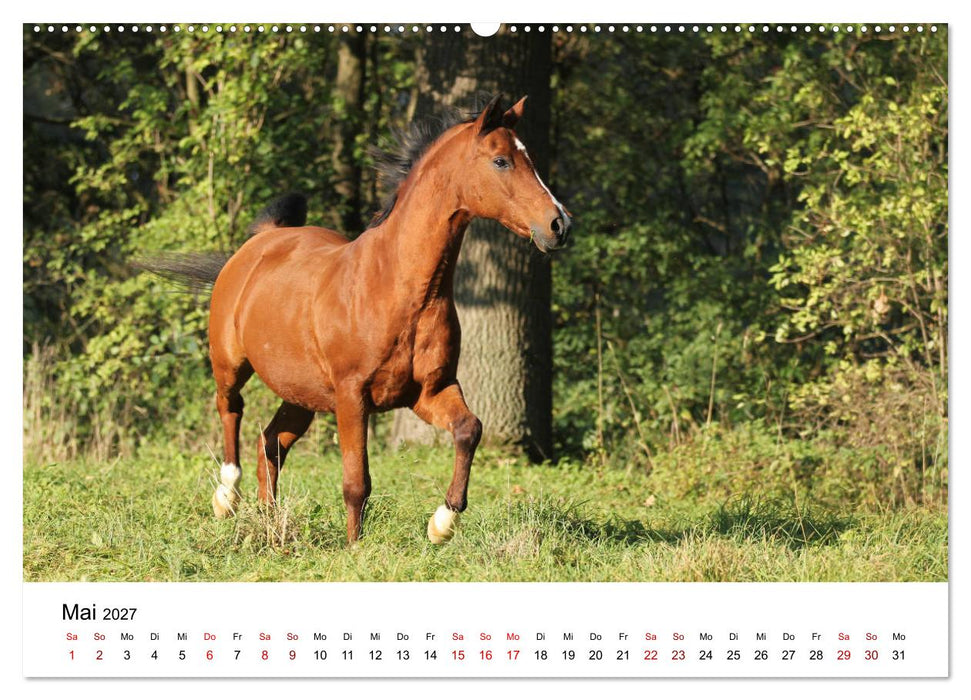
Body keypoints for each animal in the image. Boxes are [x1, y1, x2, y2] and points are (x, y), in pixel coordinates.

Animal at [153, 95, 571, 544]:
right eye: (501, 161)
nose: (560, 223)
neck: (396, 289)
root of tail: (258, 242)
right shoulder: (352, 397)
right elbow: (357, 482)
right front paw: (355, 547)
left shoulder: (430, 391)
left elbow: (468, 429)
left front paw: (443, 523)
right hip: (231, 365)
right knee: (231, 411)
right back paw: (227, 498)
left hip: (302, 394)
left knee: (271, 444)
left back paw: (269, 522)